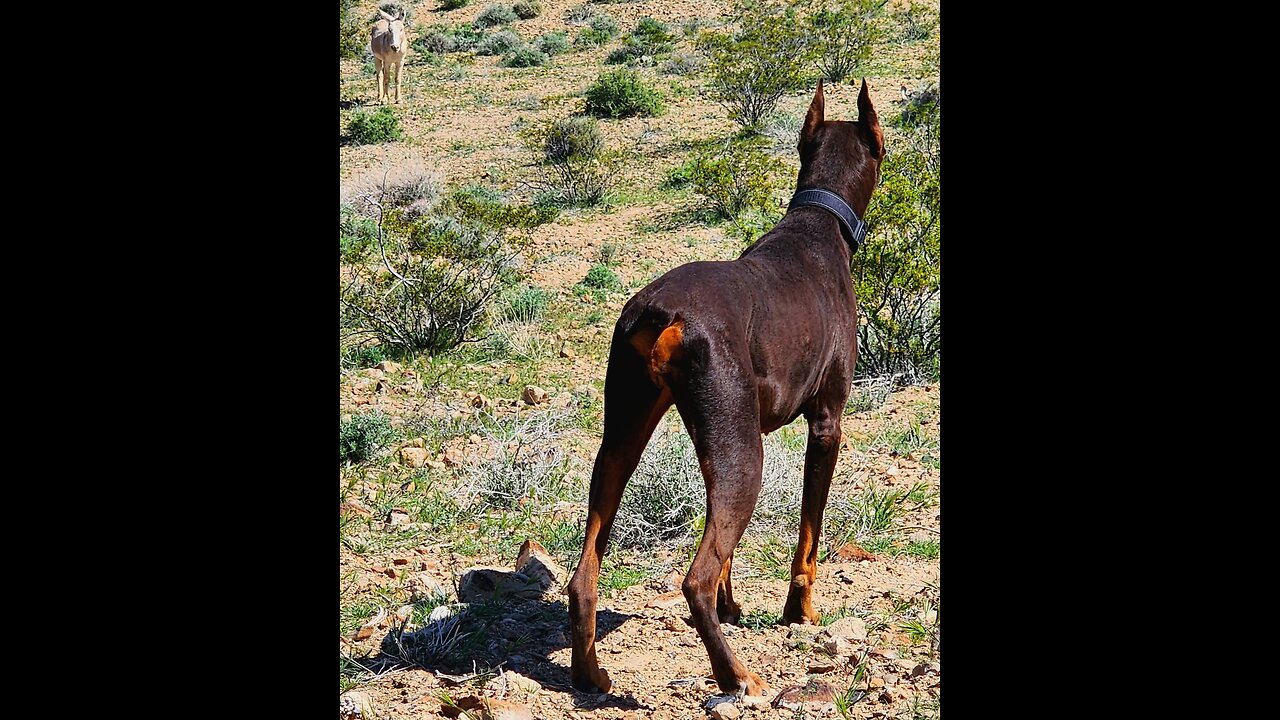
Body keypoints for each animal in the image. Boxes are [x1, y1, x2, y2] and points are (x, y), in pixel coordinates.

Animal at [573, 78, 885, 696]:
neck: (818, 222)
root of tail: (661, 312)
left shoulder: (723, 437)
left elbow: (728, 554)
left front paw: (733, 605)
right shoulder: (827, 424)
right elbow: (808, 538)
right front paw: (800, 613)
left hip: (626, 439)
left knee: (586, 568)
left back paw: (588, 671)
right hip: (747, 458)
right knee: (693, 580)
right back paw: (736, 675)